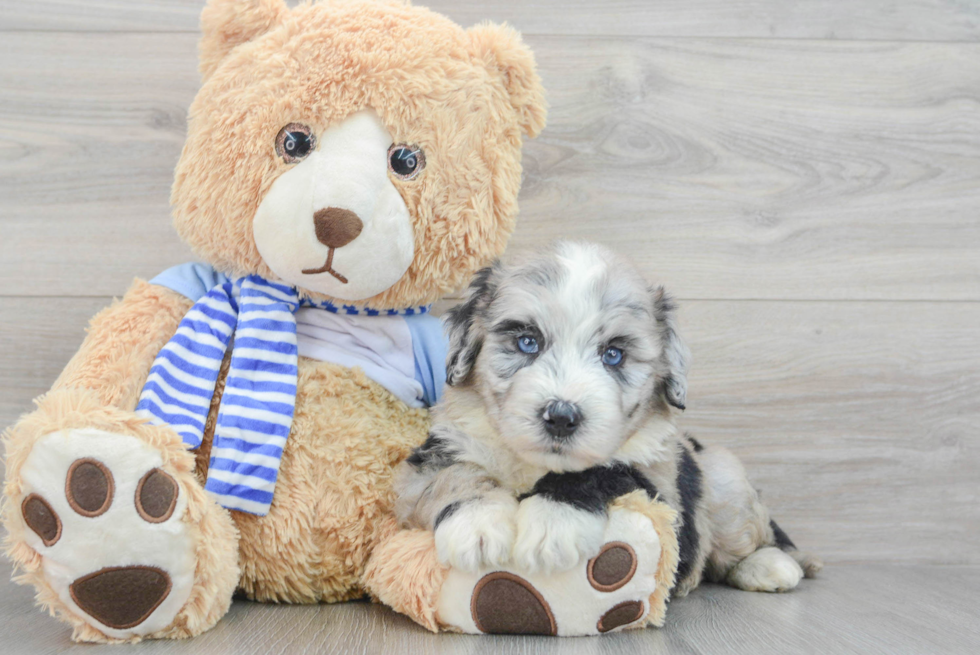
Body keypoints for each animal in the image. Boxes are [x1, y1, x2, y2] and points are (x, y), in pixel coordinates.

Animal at [390, 242, 820, 600]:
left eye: (613, 355)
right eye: (527, 342)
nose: (561, 417)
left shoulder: (659, 488)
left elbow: (599, 471)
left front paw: (551, 527)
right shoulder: (430, 458)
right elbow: (455, 474)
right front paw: (477, 527)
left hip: (724, 476)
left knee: (747, 541)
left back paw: (770, 566)